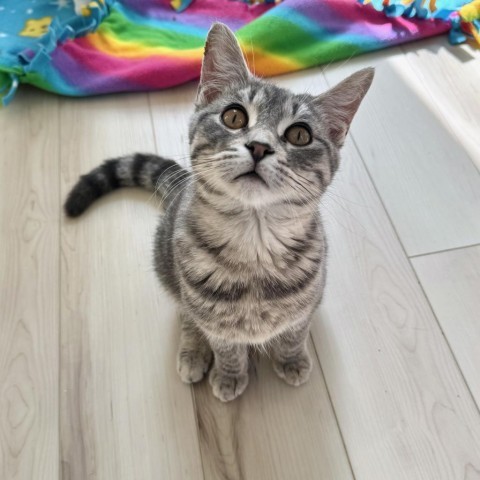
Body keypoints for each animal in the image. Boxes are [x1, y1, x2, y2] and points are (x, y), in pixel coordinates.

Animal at [63, 22, 374, 402]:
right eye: (234, 116)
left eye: (300, 134)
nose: (259, 146)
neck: (254, 245)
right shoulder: (211, 317)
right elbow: (225, 346)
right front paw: (229, 375)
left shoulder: (309, 299)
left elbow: (294, 332)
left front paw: (292, 359)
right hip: (168, 270)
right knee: (185, 315)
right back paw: (192, 351)